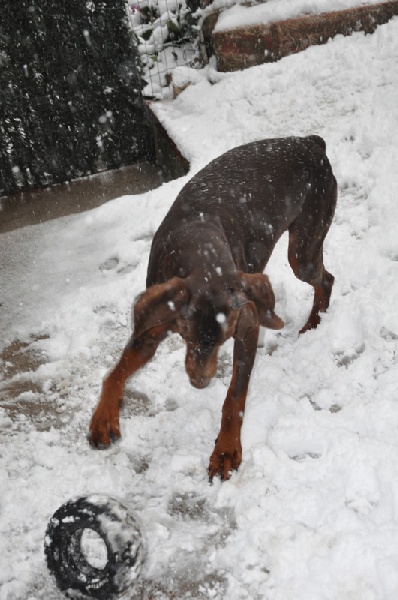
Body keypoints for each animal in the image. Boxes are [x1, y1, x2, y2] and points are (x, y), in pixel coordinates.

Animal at [89, 135, 336, 478]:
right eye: (186, 337)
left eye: (223, 339)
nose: (200, 383)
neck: (199, 246)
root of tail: (311, 142)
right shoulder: (153, 325)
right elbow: (116, 372)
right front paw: (103, 418)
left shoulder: (247, 323)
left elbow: (235, 396)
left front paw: (226, 450)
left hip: (303, 249)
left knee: (326, 279)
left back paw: (314, 323)